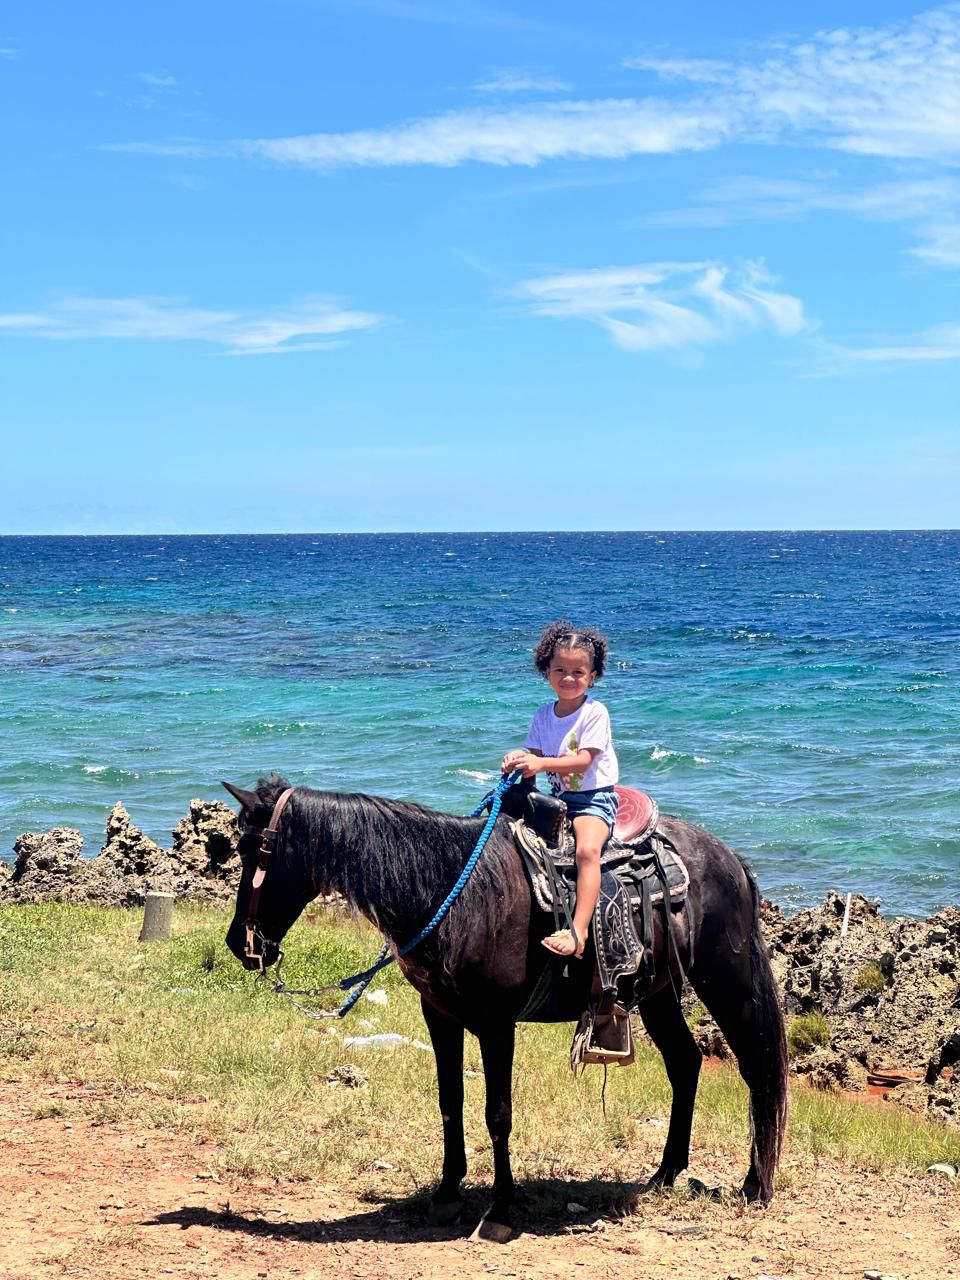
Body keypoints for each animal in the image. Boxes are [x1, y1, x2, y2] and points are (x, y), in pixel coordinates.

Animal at [224, 773, 788, 1233]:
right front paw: (446, 1195)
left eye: (255, 852)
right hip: (658, 991)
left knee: (757, 1068)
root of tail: (730, 860)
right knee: (685, 1063)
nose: (238, 945)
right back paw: (666, 1173)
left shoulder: (497, 1025)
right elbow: (450, 1102)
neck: (455, 891)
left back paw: (755, 1186)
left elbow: (498, 1113)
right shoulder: (440, 1016)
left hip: (726, 980)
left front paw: (499, 1211)